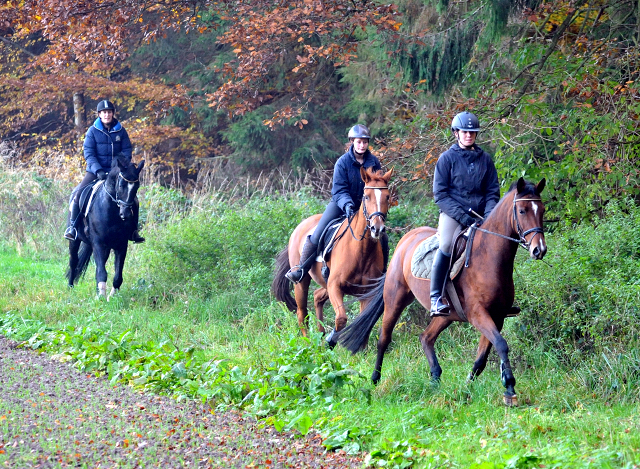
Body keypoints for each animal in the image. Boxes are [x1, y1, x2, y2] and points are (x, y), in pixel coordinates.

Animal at [65, 155, 144, 298]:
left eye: (137, 186)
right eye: (120, 185)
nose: (126, 214)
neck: (112, 212)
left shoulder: (121, 244)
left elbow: (117, 275)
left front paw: (112, 296)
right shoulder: (98, 243)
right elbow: (101, 272)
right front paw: (101, 297)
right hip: (75, 241)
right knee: (73, 262)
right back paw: (70, 287)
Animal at [272, 166, 392, 342]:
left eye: (387, 196)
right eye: (366, 196)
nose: (377, 228)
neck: (361, 252)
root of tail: (300, 226)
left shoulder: (365, 294)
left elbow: (361, 323)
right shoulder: (335, 286)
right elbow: (341, 318)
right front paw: (331, 341)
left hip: (325, 283)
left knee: (317, 296)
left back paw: (321, 332)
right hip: (302, 282)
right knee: (302, 314)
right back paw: (309, 342)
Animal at [340, 177, 544, 404]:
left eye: (542, 210)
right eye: (522, 210)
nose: (539, 249)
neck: (489, 259)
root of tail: (406, 239)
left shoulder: (497, 317)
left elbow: (482, 357)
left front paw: (467, 387)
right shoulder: (479, 314)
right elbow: (501, 344)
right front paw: (509, 388)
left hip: (447, 314)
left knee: (426, 338)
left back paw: (435, 379)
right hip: (396, 299)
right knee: (384, 338)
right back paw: (375, 379)